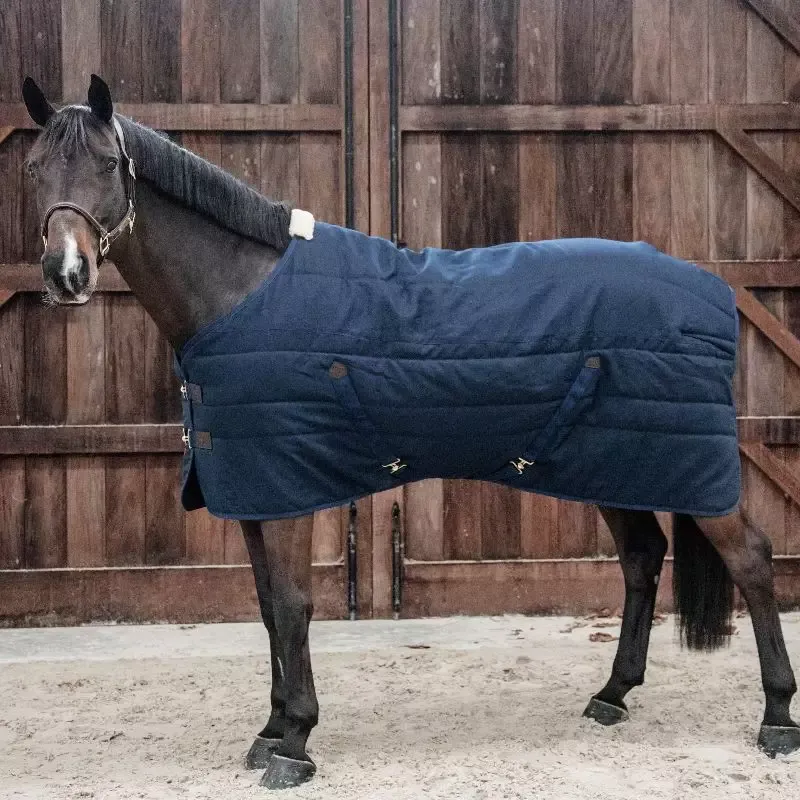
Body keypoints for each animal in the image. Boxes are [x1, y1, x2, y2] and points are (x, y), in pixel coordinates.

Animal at [20, 74, 799, 789]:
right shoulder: (252, 491)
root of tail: (711, 289)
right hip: (616, 462)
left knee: (753, 560)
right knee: (642, 557)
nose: (66, 273)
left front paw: (295, 741)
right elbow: (269, 610)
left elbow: (294, 607)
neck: (241, 294)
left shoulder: (289, 491)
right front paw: (269, 731)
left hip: (686, 469)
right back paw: (611, 695)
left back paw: (776, 719)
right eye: (33, 168)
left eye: (108, 165)